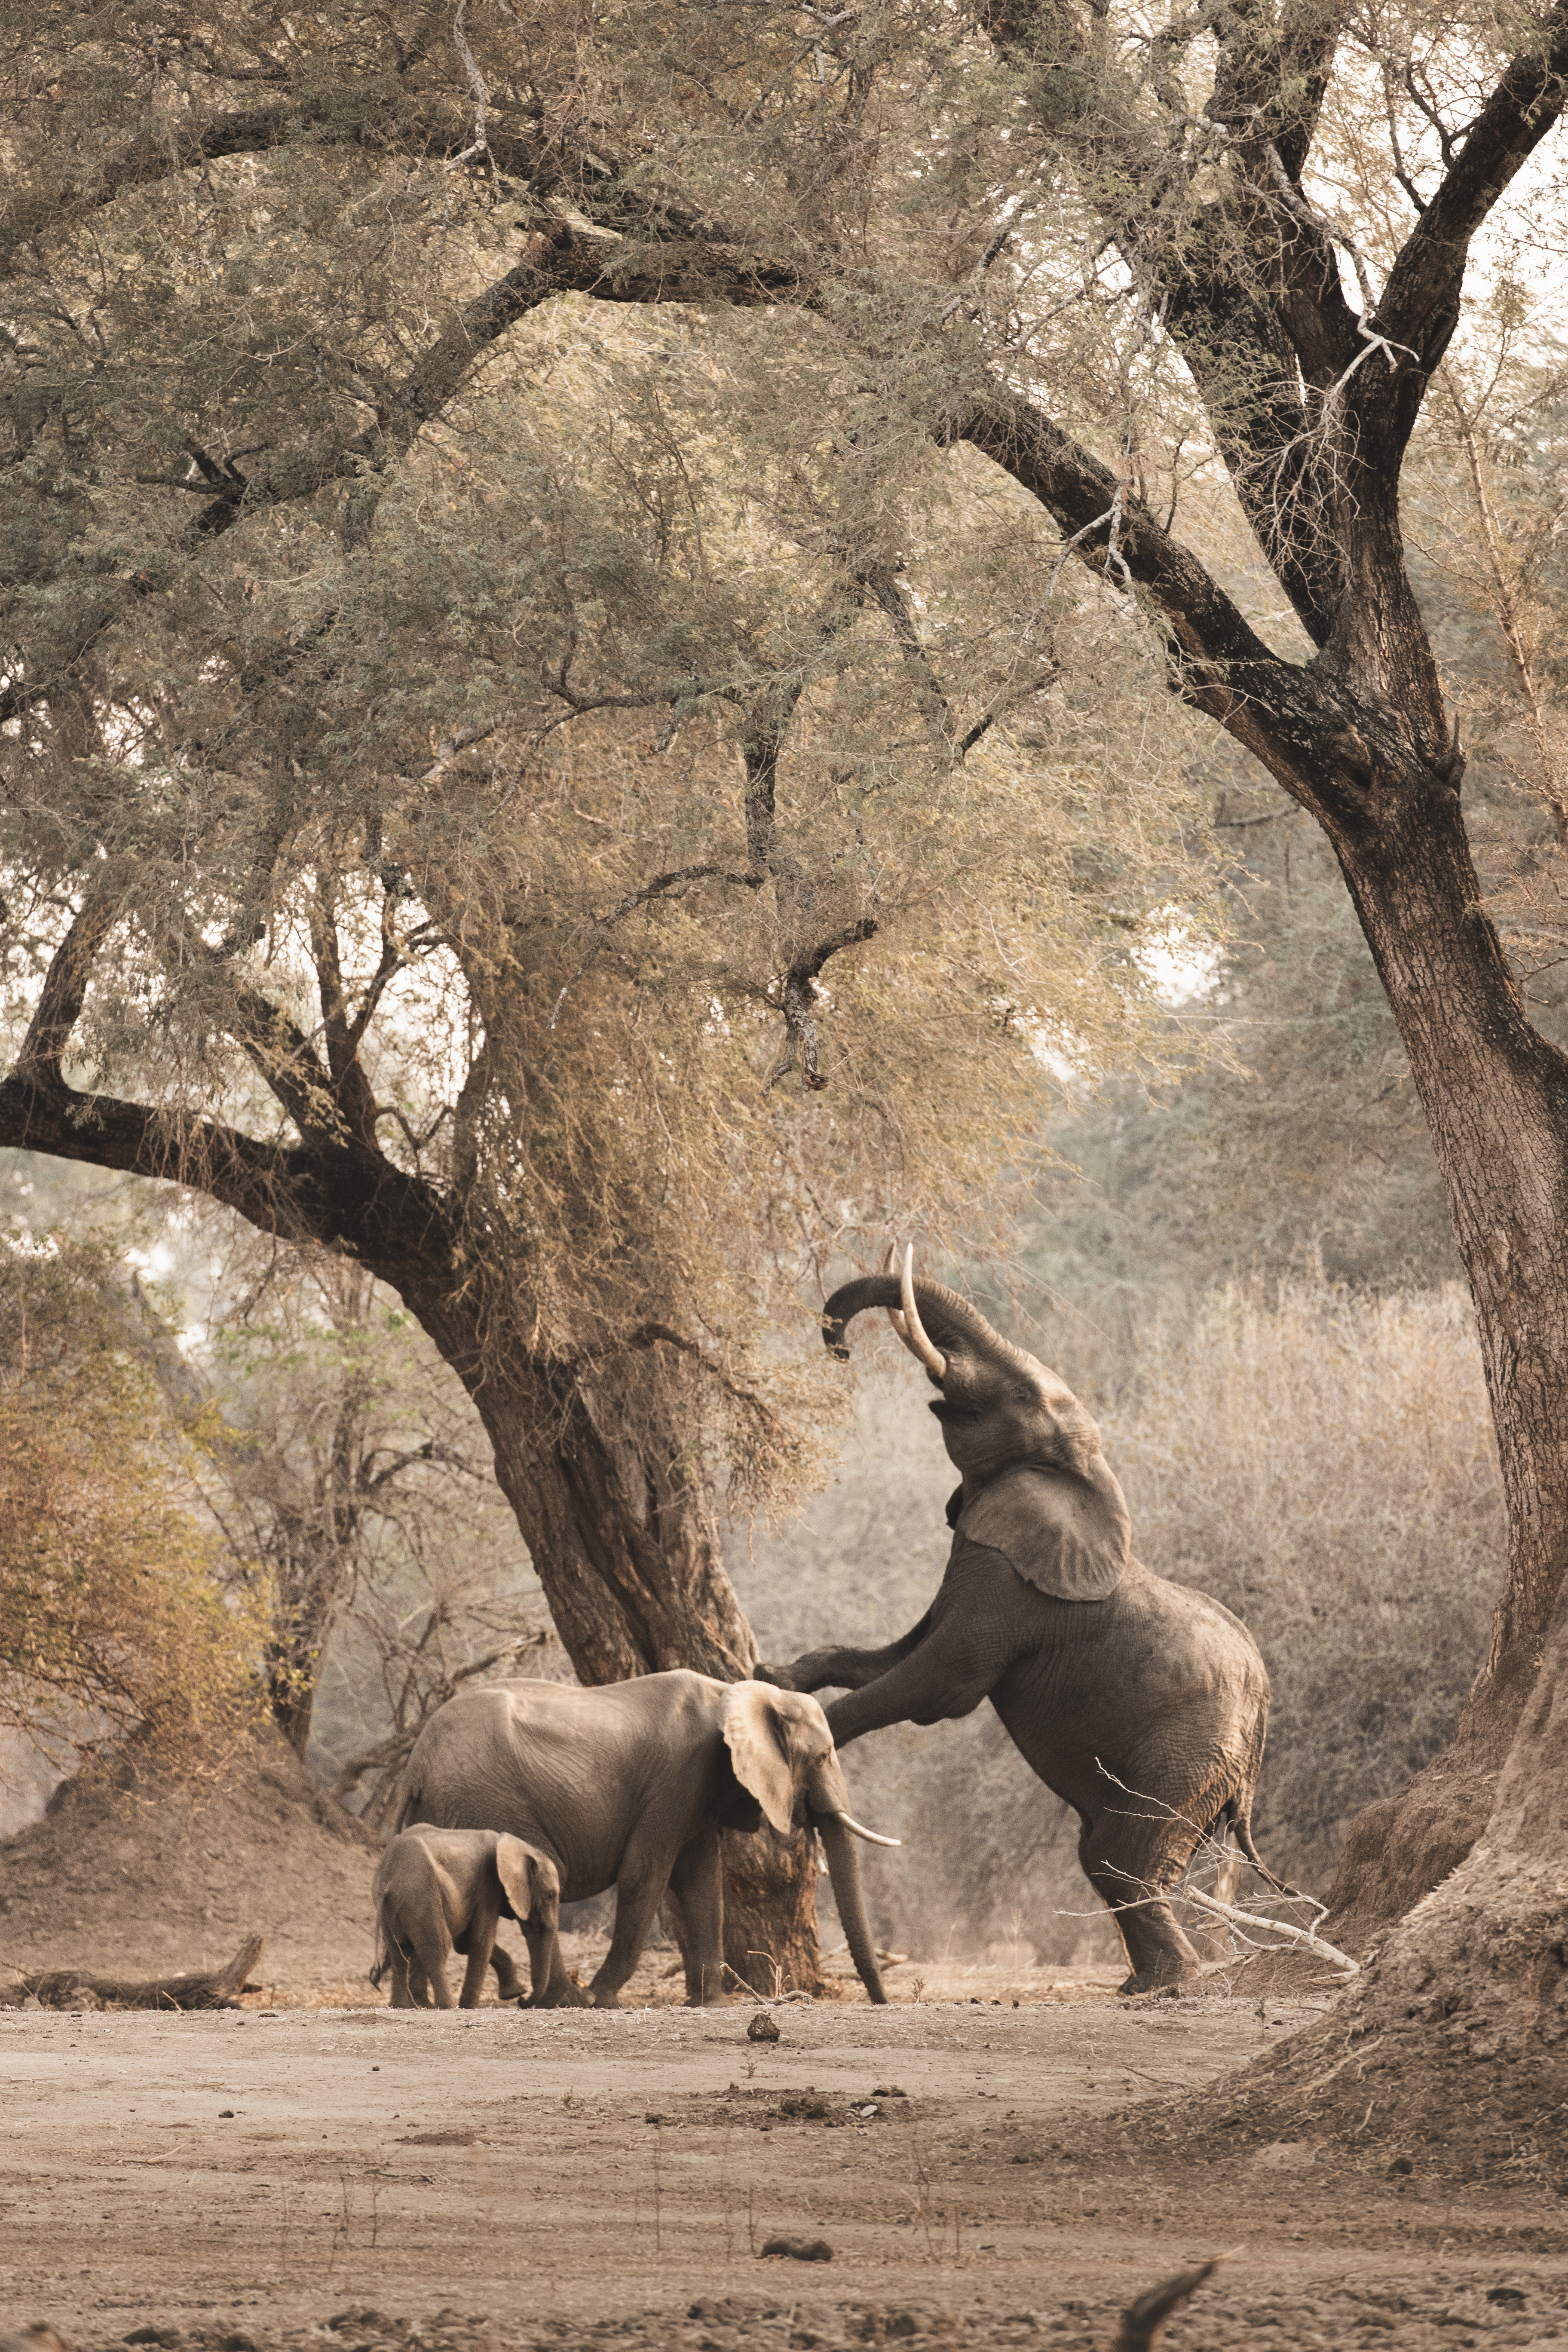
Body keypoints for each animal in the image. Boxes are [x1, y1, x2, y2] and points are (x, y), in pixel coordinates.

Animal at [371, 1824, 565, 2009]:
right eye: (550, 1895)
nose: (522, 2000)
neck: (522, 1848)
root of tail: (387, 1878)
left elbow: (464, 1943)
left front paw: (514, 1992)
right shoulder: (489, 1885)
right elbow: (481, 1940)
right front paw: (470, 2006)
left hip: (395, 1908)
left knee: (399, 1952)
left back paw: (407, 2006)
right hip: (421, 1896)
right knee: (437, 1947)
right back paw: (446, 2006)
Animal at [394, 1671, 898, 2008]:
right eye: (824, 1755)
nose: (883, 2003)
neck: (736, 1691)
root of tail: (416, 1765)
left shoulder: (698, 1790)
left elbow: (702, 1880)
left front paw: (709, 2004)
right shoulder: (678, 1777)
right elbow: (646, 1872)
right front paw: (602, 2000)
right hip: (492, 1799)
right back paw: (566, 2000)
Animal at [761, 1249, 1283, 1994]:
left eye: (1023, 1398)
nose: (838, 1348)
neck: (1082, 1472)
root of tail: (1264, 1724)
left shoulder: (1013, 1588)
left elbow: (940, 1685)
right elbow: (894, 1656)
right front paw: (774, 1674)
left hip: (1192, 1749)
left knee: (1122, 1853)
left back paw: (1171, 1987)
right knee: (1105, 1853)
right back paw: (1147, 1986)